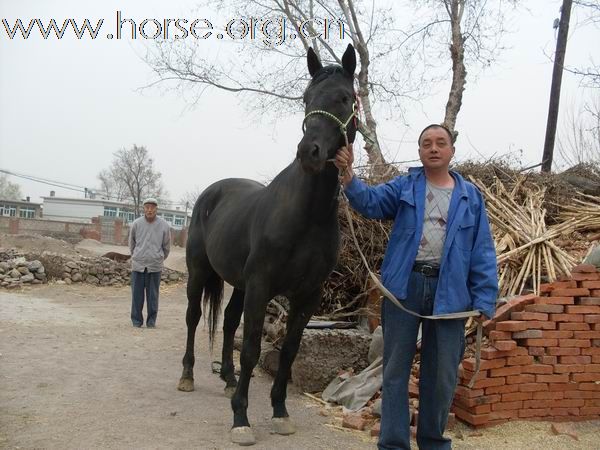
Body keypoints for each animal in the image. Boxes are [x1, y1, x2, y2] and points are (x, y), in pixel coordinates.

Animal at [178, 44, 356, 444]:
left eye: (345, 98)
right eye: (306, 98)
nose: (309, 152)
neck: (307, 216)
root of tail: (211, 193)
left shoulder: (307, 296)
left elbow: (288, 352)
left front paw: (280, 412)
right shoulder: (261, 286)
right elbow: (252, 349)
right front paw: (241, 419)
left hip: (240, 285)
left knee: (228, 322)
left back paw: (228, 379)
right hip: (200, 272)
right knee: (195, 318)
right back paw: (187, 376)